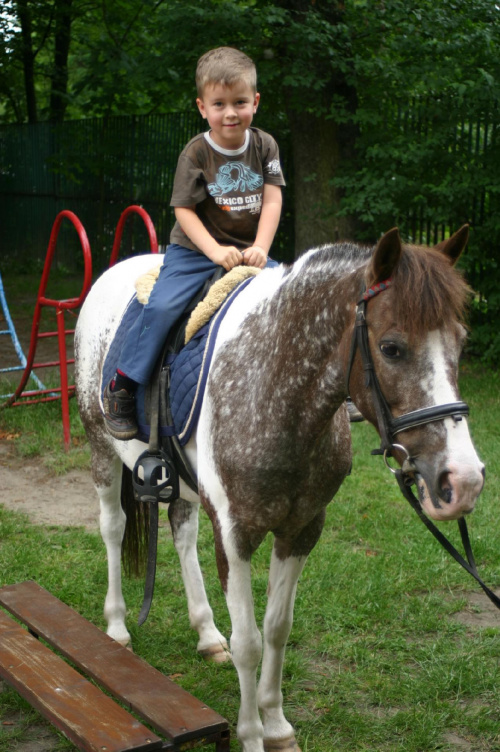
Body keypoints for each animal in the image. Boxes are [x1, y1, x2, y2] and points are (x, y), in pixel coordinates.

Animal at [75, 228, 484, 752]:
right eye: (392, 348)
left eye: (461, 342)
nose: (464, 479)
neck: (274, 386)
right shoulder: (235, 534)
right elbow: (249, 641)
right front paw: (251, 734)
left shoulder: (302, 528)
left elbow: (276, 629)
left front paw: (277, 726)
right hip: (100, 446)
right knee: (113, 527)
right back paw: (117, 626)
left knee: (182, 533)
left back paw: (206, 634)